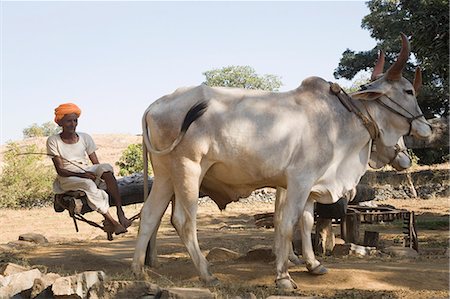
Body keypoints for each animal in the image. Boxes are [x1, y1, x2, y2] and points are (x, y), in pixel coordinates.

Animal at [134, 34, 432, 290]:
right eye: (409, 91)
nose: (426, 128)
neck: (340, 122)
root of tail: (155, 105)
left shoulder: (307, 185)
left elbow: (306, 222)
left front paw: (312, 264)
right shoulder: (299, 181)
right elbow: (288, 223)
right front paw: (284, 276)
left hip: (166, 174)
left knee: (149, 215)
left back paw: (139, 272)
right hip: (189, 169)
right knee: (183, 220)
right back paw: (207, 274)